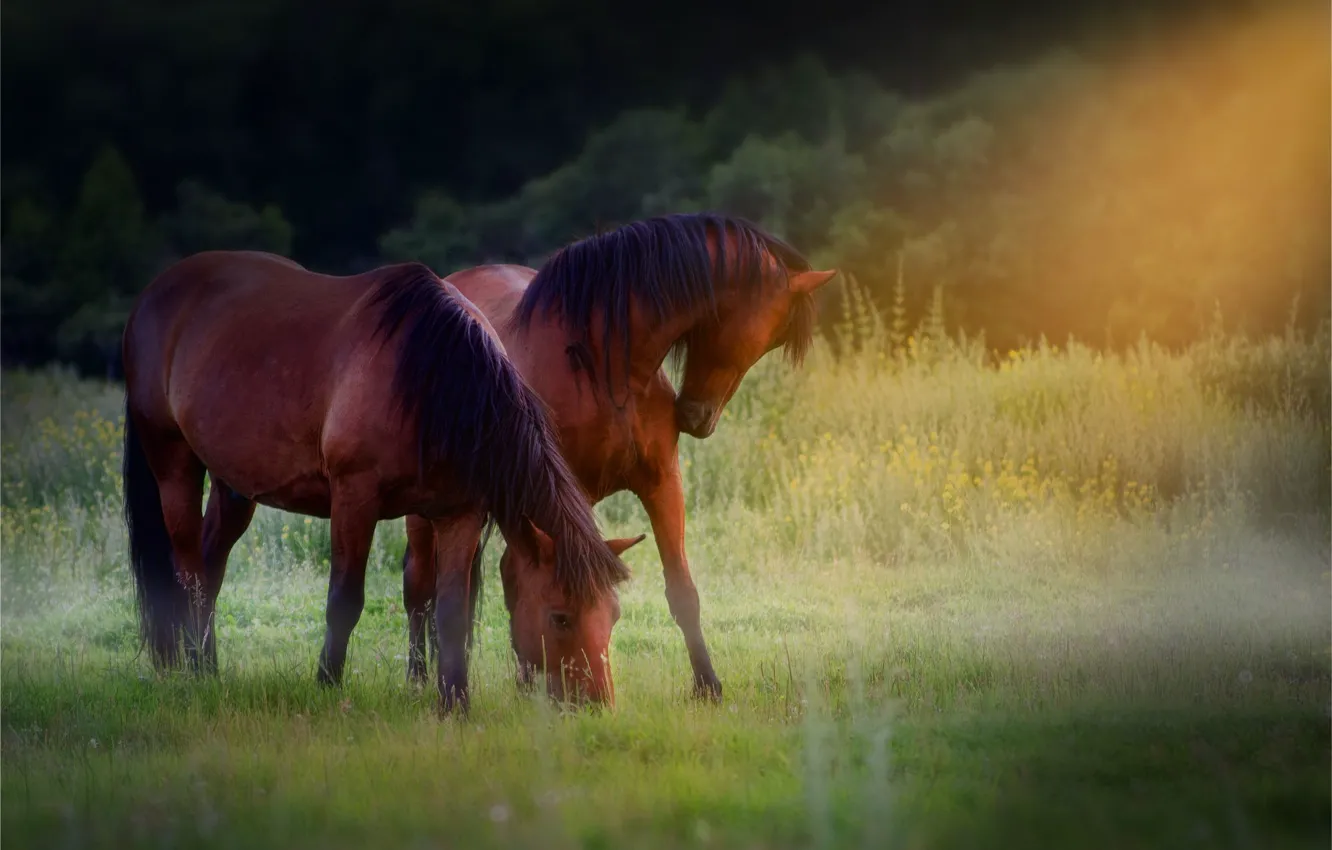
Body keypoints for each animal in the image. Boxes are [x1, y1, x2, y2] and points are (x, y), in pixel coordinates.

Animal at [120, 250, 641, 712]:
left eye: (613, 614)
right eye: (560, 617)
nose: (597, 704)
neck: (431, 382)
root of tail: (153, 295)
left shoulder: (461, 514)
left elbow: (451, 612)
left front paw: (454, 703)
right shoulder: (355, 498)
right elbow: (345, 600)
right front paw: (327, 685)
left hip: (234, 485)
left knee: (212, 566)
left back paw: (209, 667)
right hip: (174, 461)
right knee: (189, 570)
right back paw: (193, 670)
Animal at [403, 213, 837, 701]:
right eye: (769, 333)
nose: (698, 417)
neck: (603, 367)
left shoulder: (661, 482)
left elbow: (682, 590)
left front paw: (708, 686)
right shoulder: (567, 498)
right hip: (429, 513)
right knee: (419, 582)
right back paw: (420, 677)